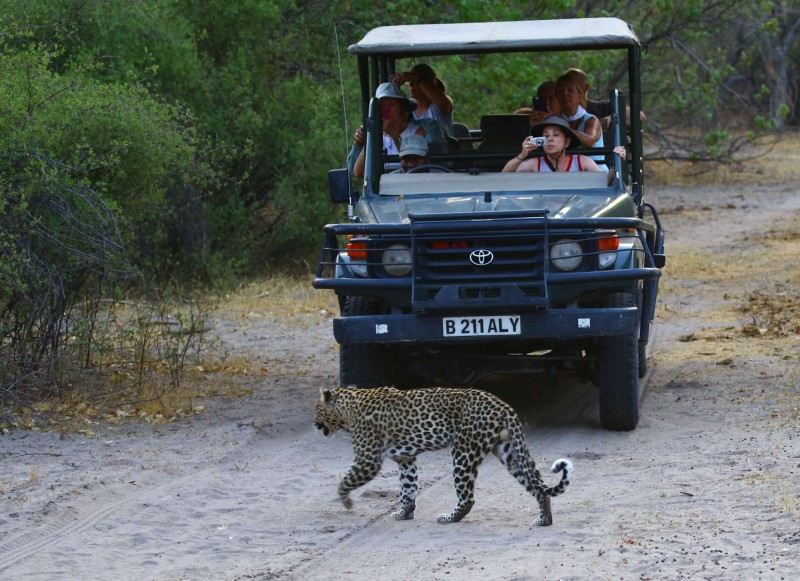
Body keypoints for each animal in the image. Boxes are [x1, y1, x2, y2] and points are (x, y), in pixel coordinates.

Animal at [310, 386, 568, 524]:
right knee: (538, 487)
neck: (347, 409)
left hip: (463, 452)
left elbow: (345, 481)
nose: (313, 423)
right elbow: (407, 488)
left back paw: (449, 518)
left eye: (317, 408)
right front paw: (404, 513)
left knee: (467, 498)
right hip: (509, 453)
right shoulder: (406, 459)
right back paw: (544, 520)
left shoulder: (368, 460)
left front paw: (346, 501)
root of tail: (503, 406)